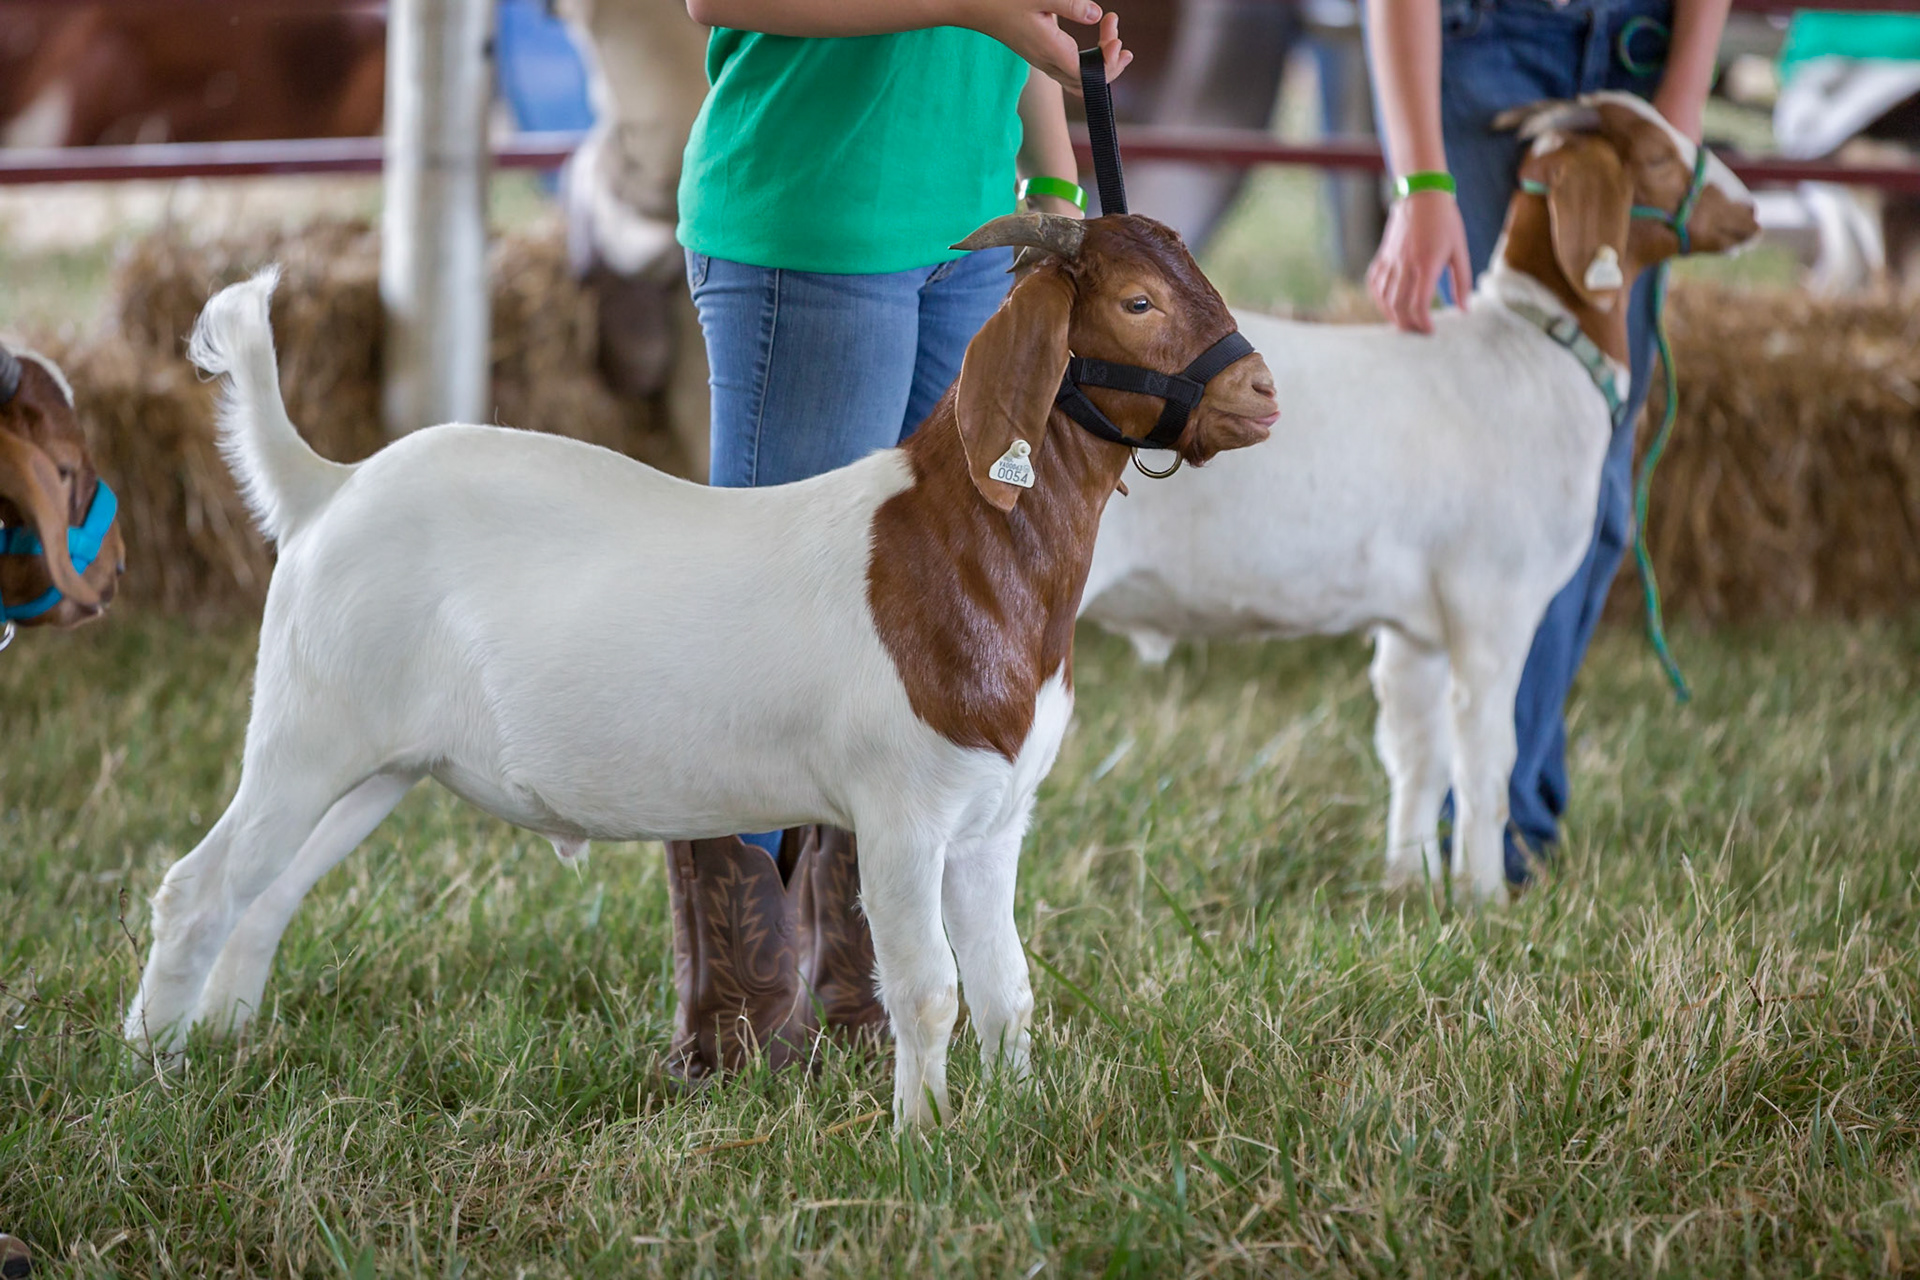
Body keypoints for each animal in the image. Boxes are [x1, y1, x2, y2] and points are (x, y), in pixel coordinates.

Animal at [122, 212, 1277, 1127]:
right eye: (1135, 300)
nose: (1265, 391)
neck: (958, 546)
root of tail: (327, 486)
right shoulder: (901, 812)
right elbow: (928, 989)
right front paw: (926, 1142)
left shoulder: (993, 820)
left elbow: (1008, 989)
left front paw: (1020, 1120)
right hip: (307, 726)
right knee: (197, 885)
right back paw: (152, 1076)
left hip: (380, 763)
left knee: (265, 894)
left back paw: (218, 1042)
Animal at [1081, 93, 1760, 906]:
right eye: (1656, 156)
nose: (1751, 209)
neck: (1536, 350)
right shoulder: (1493, 602)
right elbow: (1485, 761)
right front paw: (1486, 897)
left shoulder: (1417, 626)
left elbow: (1417, 751)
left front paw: (1408, 882)